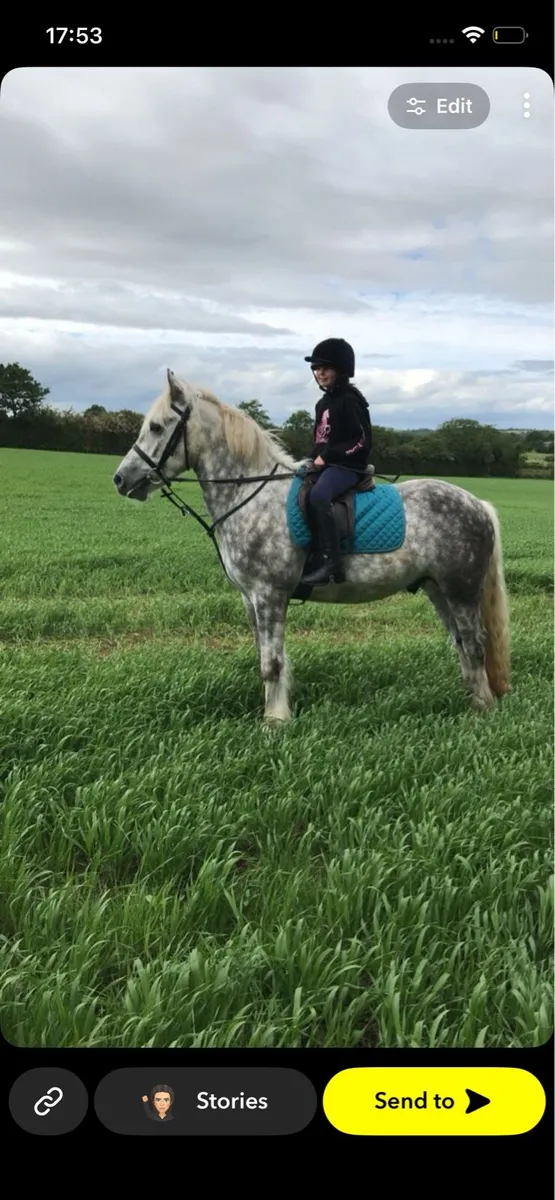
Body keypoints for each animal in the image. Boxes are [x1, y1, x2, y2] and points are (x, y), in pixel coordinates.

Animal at [113, 369, 511, 725]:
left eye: (157, 427)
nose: (120, 479)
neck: (249, 494)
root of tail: (478, 505)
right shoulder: (250, 599)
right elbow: (266, 657)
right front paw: (276, 711)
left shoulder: (269, 595)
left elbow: (272, 663)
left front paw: (275, 722)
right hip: (436, 588)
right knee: (461, 642)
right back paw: (471, 698)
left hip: (461, 589)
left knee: (475, 641)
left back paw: (483, 708)